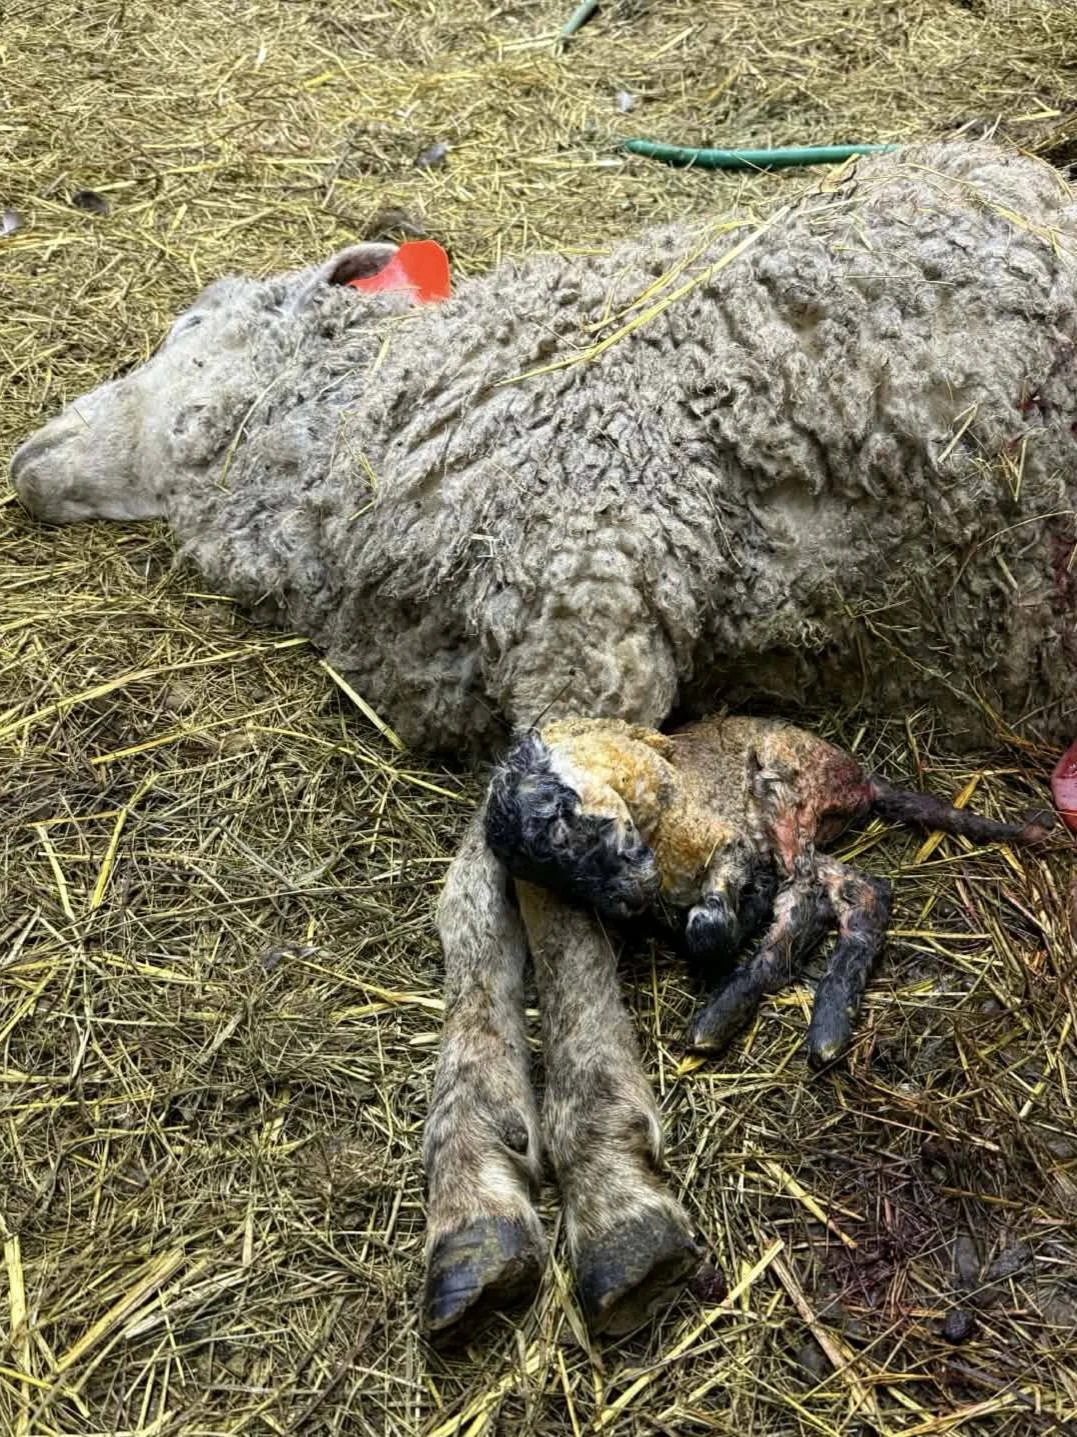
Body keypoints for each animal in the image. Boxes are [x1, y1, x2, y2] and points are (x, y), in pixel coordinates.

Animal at [485, 714, 1052, 1069]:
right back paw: (737, 1011)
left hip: (783, 789)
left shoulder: (728, 841)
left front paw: (737, 915)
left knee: (851, 891)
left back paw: (817, 1026)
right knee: (814, 901)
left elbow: (709, 930)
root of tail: (862, 779)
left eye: (562, 815)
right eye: (548, 876)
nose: (628, 898)